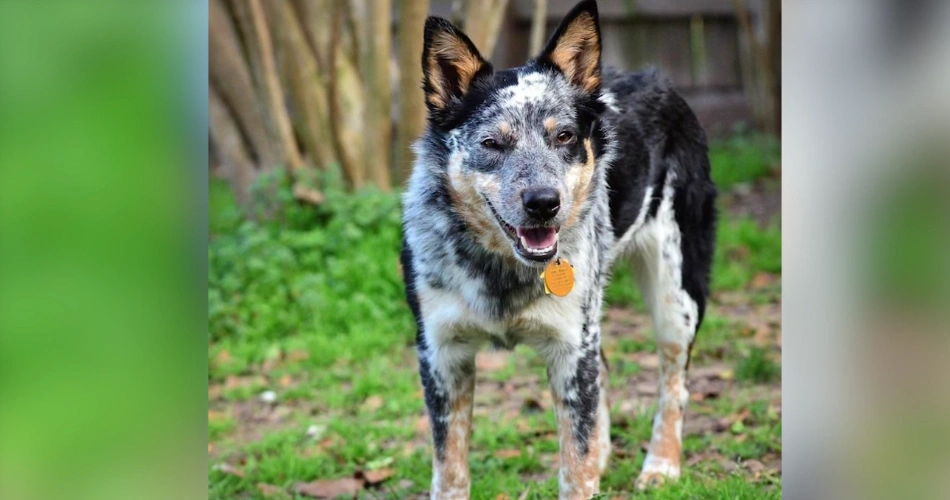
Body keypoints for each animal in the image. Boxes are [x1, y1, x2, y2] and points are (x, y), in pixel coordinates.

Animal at [398, 1, 716, 498]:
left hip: (675, 298)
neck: (500, 270)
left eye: (564, 136)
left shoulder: (570, 348)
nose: (544, 203)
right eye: (491, 143)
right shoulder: (441, 354)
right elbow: (449, 471)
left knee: (674, 384)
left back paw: (662, 465)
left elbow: (575, 469)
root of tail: (654, 78)